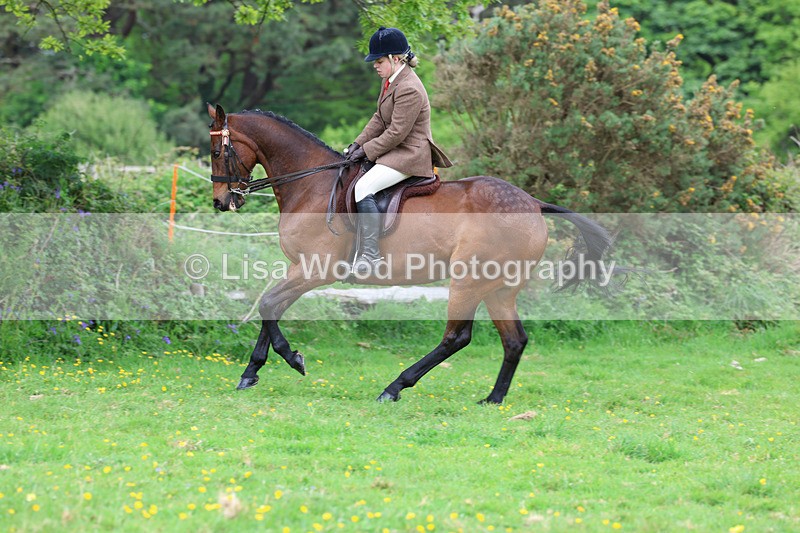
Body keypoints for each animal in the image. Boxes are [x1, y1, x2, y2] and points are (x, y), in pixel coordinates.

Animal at [207, 103, 614, 404]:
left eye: (216, 151)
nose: (220, 202)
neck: (311, 184)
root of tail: (533, 204)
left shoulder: (315, 269)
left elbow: (268, 304)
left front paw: (293, 359)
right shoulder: (299, 268)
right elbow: (270, 305)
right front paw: (251, 372)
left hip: (469, 280)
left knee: (457, 337)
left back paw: (394, 387)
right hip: (500, 288)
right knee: (514, 341)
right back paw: (493, 399)